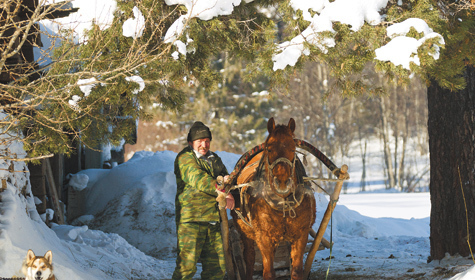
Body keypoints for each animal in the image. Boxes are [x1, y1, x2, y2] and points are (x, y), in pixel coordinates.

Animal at [231, 118, 316, 280]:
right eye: (269, 149)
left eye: (293, 149)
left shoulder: (300, 235)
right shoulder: (264, 238)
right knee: (249, 257)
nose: (282, 182)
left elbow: (296, 271)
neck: (282, 202)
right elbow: (268, 272)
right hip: (246, 232)